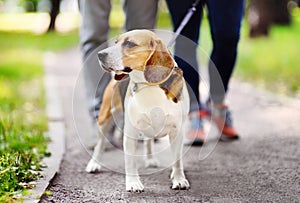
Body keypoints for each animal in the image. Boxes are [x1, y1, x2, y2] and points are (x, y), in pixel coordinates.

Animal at [85, 29, 190, 192]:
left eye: (129, 44)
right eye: (116, 42)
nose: (100, 54)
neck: (150, 86)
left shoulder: (177, 131)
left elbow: (177, 161)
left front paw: (179, 179)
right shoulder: (130, 133)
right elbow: (130, 161)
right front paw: (133, 183)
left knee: (148, 141)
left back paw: (150, 159)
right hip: (104, 118)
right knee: (100, 144)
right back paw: (94, 164)